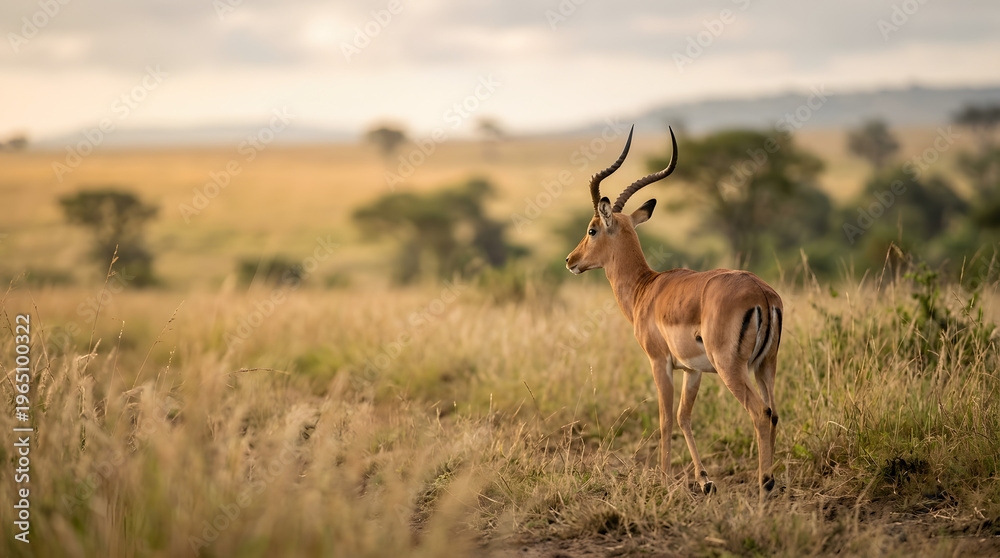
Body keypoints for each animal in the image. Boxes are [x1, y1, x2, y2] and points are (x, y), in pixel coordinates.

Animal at [565, 126, 783, 497]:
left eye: (592, 229)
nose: (570, 260)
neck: (646, 288)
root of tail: (762, 294)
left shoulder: (659, 362)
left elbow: (665, 418)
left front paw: (664, 479)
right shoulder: (692, 370)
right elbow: (684, 416)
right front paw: (704, 480)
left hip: (731, 368)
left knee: (760, 412)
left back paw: (764, 482)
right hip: (764, 366)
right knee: (775, 411)